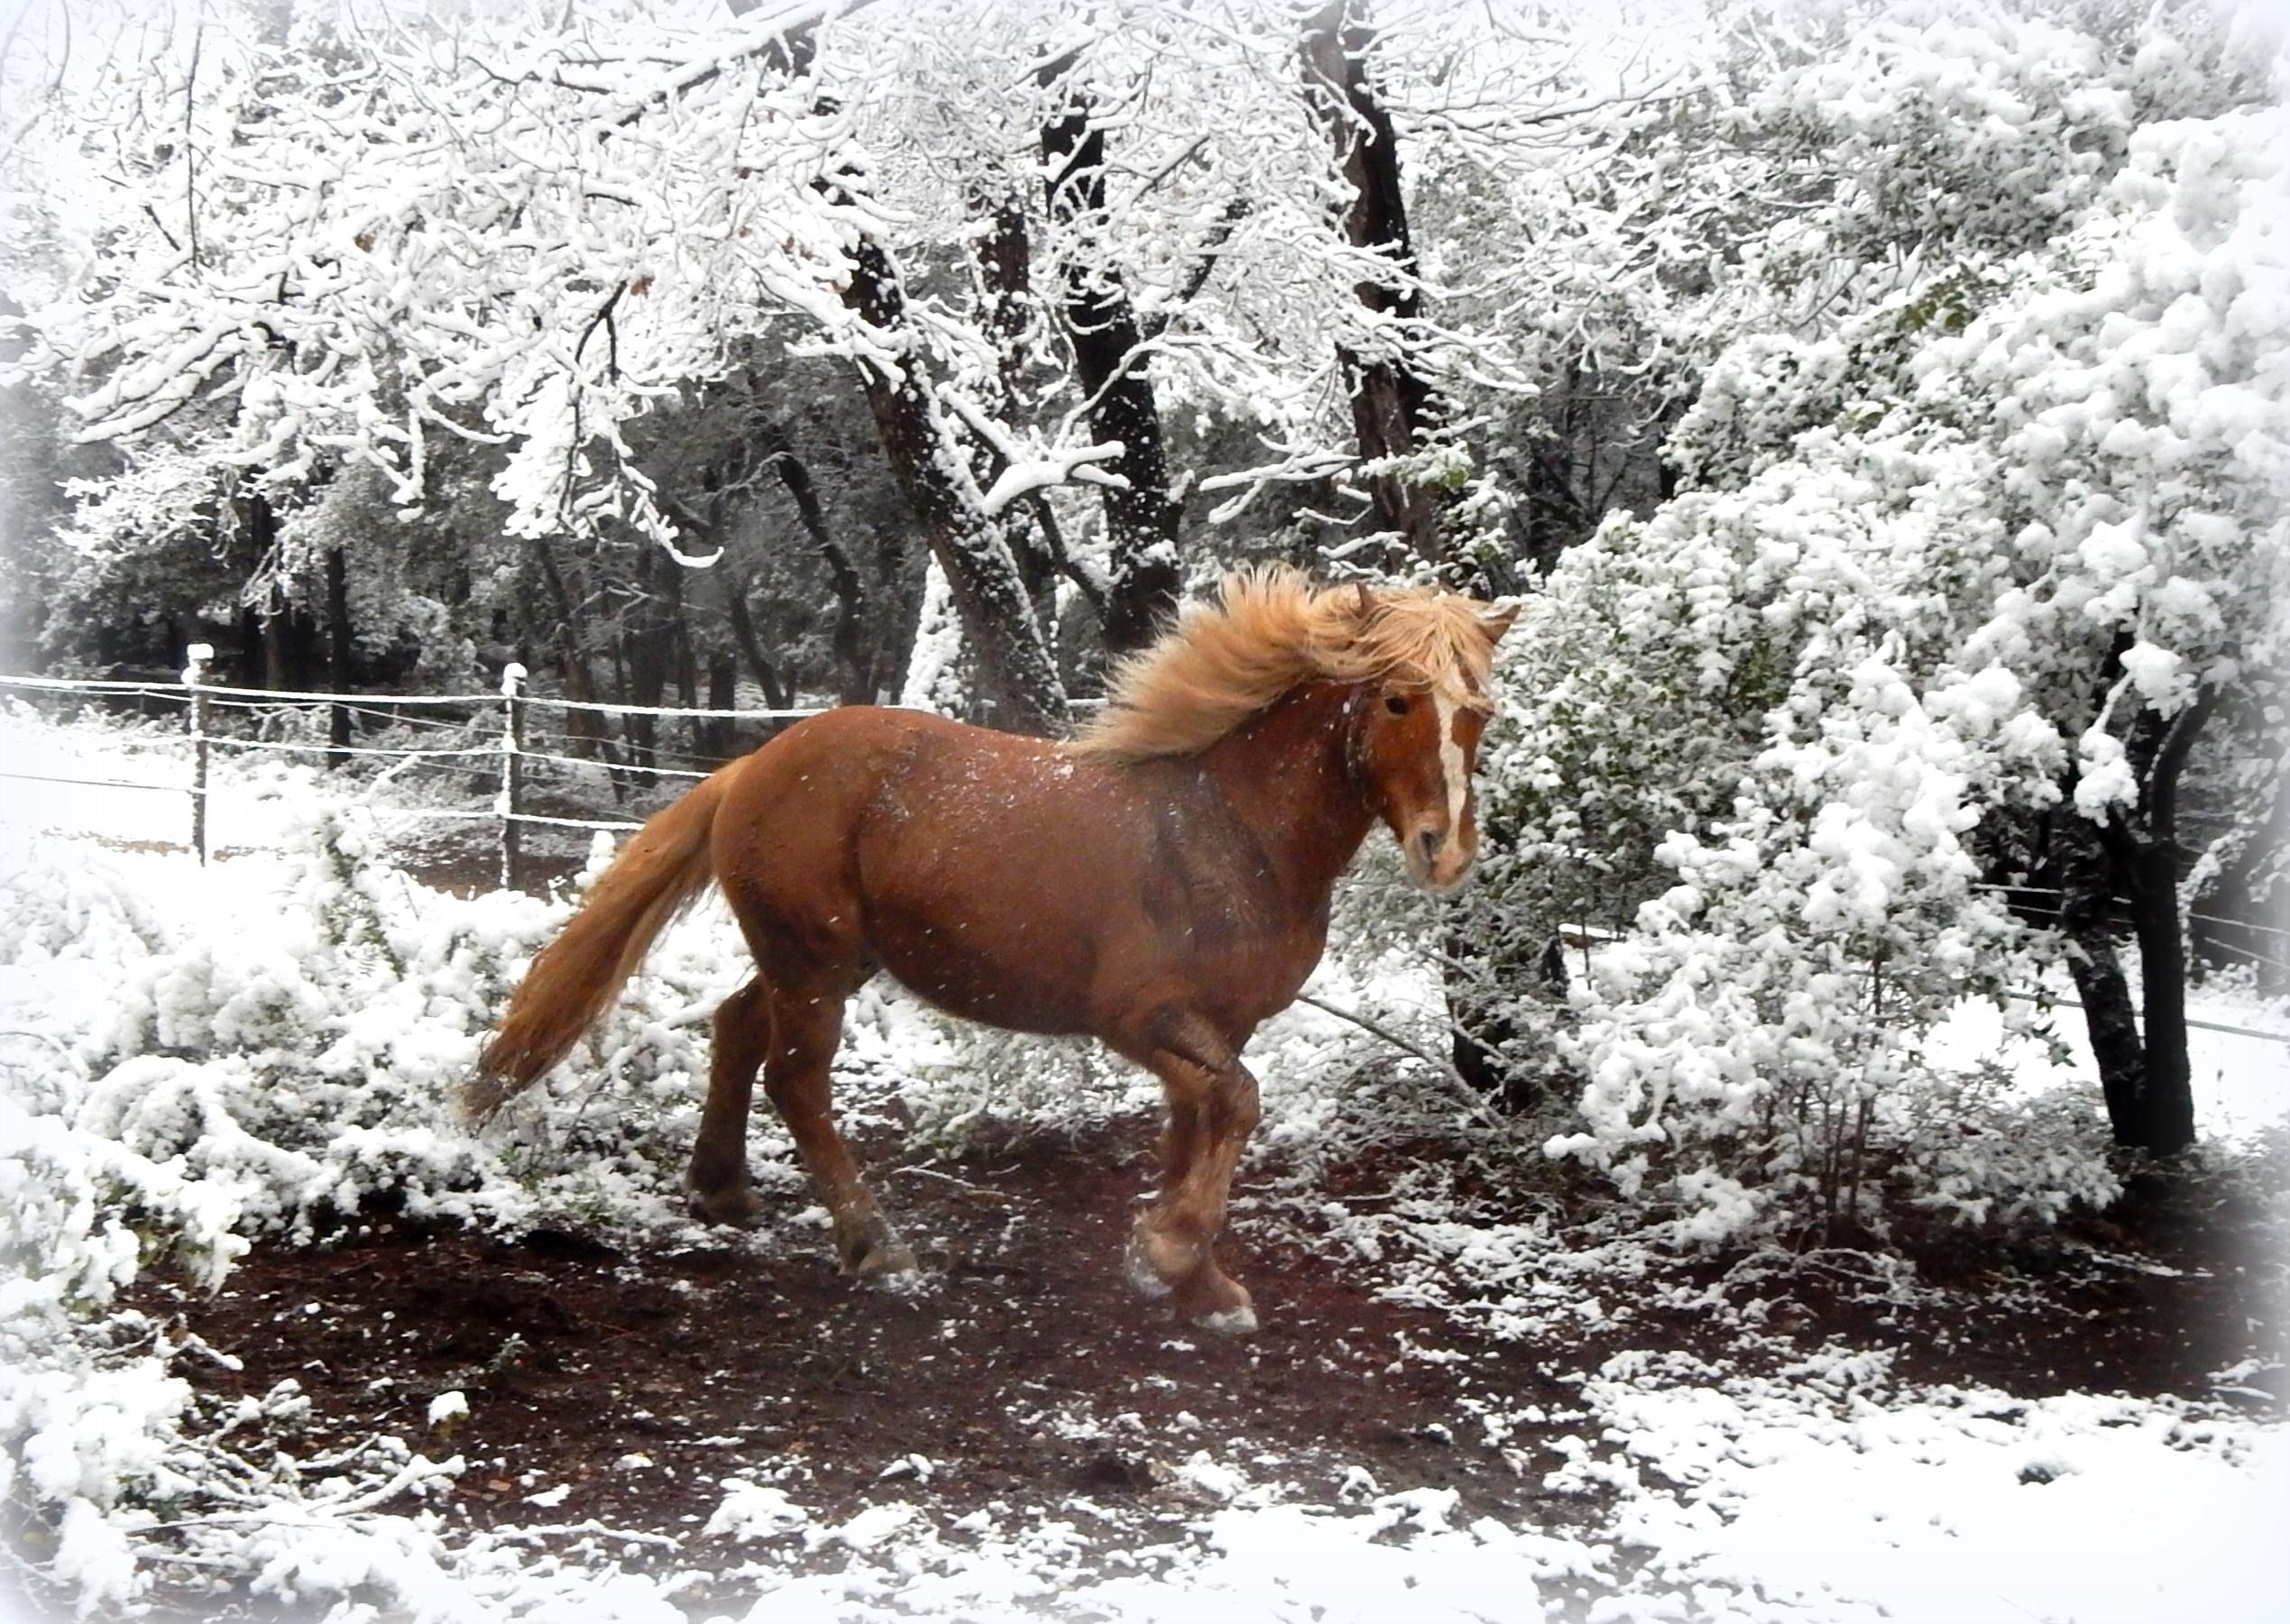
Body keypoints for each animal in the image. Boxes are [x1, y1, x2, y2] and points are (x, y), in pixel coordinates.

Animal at [464, 570, 1511, 1328]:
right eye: (1395, 700)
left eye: (1479, 711)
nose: (1445, 849)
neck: (1227, 828)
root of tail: (752, 764)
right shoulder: (1138, 1017)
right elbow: (1235, 1106)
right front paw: (1169, 1254)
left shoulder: (1222, 1025)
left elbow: (1201, 1120)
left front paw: (1190, 1282)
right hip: (817, 964)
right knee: (796, 1079)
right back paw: (874, 1243)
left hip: (823, 959)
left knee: (734, 1026)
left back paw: (722, 1190)